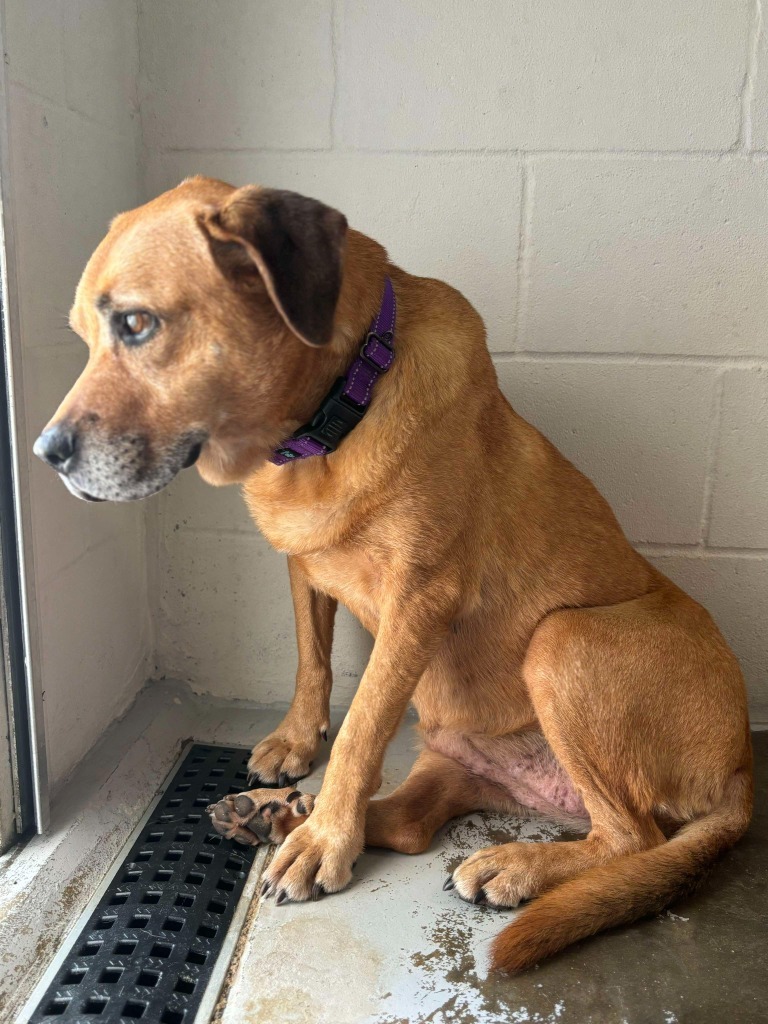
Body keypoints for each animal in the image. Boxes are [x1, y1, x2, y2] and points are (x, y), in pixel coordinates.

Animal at [34, 176, 753, 966]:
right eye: (84, 338)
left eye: (136, 324)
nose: (45, 454)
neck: (337, 410)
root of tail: (742, 775)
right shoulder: (305, 568)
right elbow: (312, 664)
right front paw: (297, 753)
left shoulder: (420, 601)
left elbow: (363, 725)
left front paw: (325, 841)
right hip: (456, 755)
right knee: (412, 826)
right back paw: (275, 816)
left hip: (563, 642)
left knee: (631, 836)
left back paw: (507, 863)